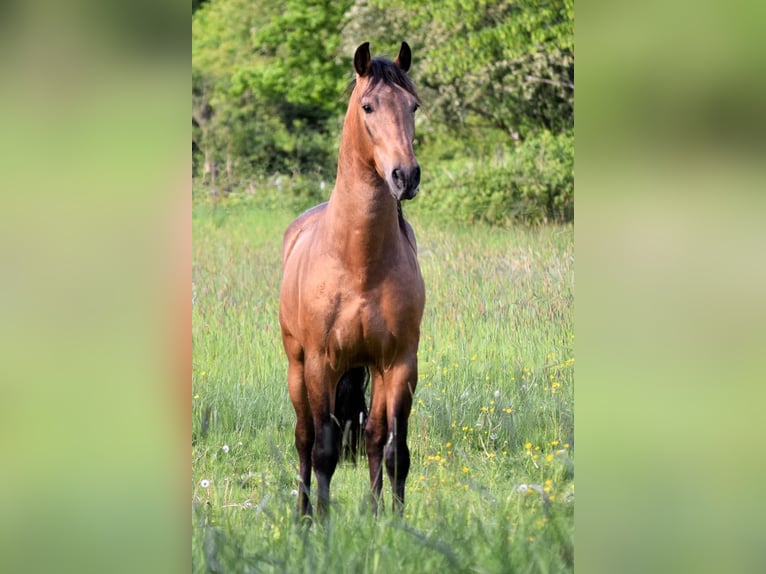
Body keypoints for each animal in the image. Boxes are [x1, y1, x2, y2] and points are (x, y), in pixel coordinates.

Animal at [279, 41, 425, 518]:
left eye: (413, 105)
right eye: (368, 106)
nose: (405, 176)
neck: (359, 263)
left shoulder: (400, 364)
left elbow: (394, 449)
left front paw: (392, 521)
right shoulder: (322, 363)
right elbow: (324, 449)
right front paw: (322, 524)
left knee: (375, 436)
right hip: (297, 365)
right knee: (305, 438)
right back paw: (303, 514)